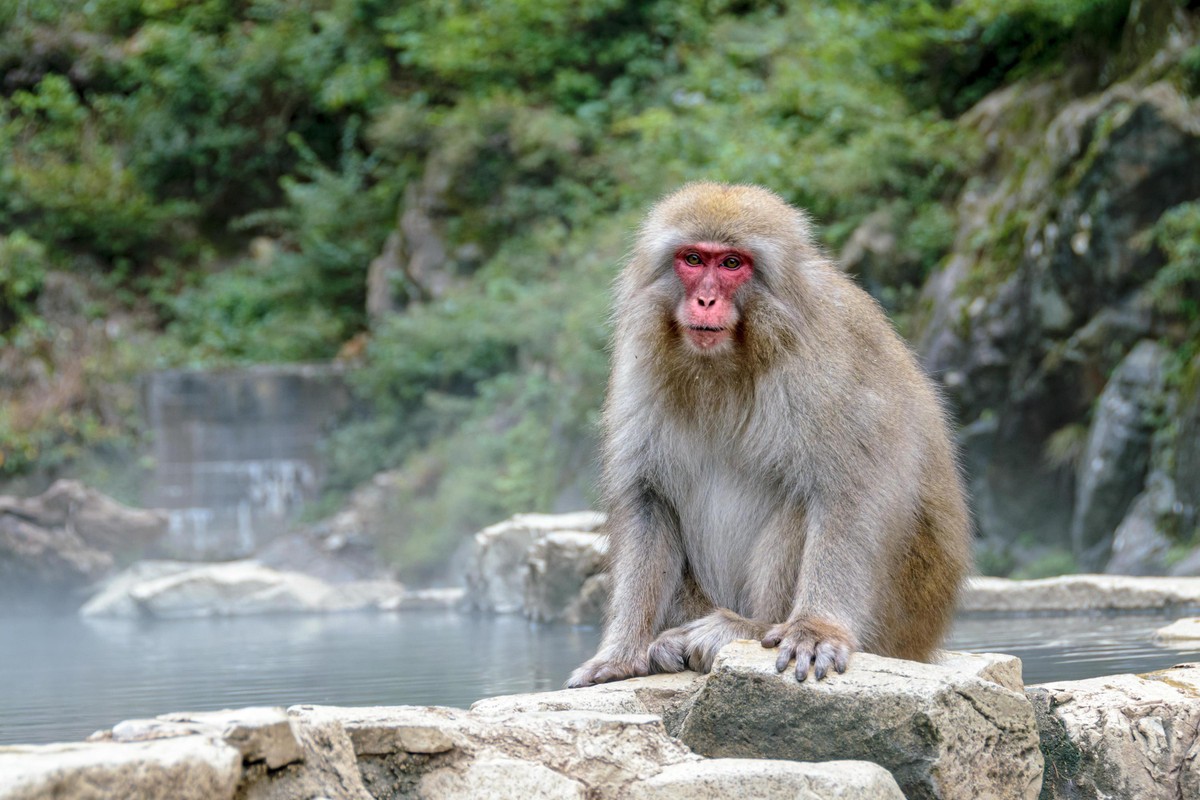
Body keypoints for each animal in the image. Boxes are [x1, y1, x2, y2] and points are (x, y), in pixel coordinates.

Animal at [566, 183, 969, 690]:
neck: (727, 362)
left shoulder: (825, 361)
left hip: (899, 618)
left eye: (731, 263)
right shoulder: (642, 366)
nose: (705, 301)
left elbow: (854, 489)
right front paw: (622, 652)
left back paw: (749, 627)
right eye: (693, 259)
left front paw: (817, 628)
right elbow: (647, 498)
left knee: (804, 499)